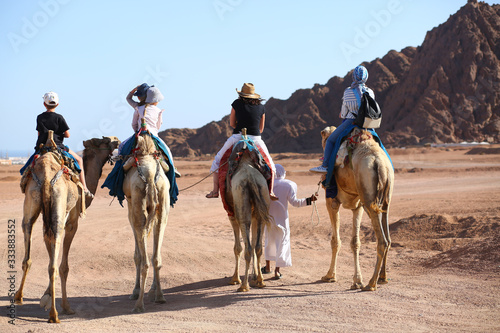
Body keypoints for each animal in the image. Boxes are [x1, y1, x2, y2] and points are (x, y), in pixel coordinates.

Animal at [14, 132, 119, 322]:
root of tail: (46, 176)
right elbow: (63, 266)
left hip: (32, 205)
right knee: (56, 265)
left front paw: (46, 296)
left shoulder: (46, 223)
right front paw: (63, 305)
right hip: (59, 214)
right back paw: (55, 314)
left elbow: (50, 259)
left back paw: (19, 297)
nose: (117, 140)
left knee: (28, 248)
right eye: (103, 140)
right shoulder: (72, 223)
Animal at [122, 132, 170, 312]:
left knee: (145, 260)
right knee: (156, 257)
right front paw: (153, 290)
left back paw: (139, 304)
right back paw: (160, 296)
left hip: (138, 206)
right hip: (162, 204)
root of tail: (149, 177)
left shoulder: (130, 208)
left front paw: (135, 291)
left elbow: (137, 256)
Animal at [224, 134, 272, 292]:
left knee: (248, 248)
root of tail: (250, 177)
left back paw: (244, 285)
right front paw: (255, 276)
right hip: (261, 201)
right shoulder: (256, 213)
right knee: (257, 248)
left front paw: (234, 279)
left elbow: (237, 248)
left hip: (241, 206)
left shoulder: (232, 215)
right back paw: (260, 281)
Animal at [320, 126, 394, 290]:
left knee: (382, 241)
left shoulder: (332, 202)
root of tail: (380, 164)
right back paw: (382, 277)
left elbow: (335, 241)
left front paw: (329, 276)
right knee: (388, 238)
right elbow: (355, 242)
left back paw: (371, 283)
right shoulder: (358, 207)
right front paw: (357, 280)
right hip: (383, 199)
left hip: (368, 197)